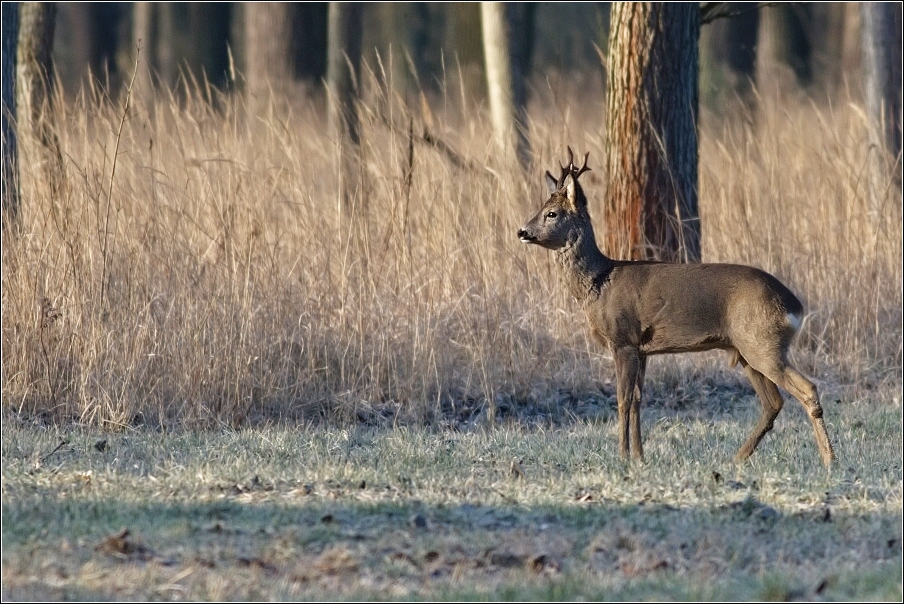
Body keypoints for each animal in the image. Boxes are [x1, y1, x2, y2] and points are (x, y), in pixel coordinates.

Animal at [520, 150, 836, 468]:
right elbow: (637, 400)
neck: (600, 281)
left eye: (552, 213)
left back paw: (829, 459)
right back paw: (737, 457)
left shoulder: (623, 339)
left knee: (807, 389)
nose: (523, 231)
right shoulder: (642, 349)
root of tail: (795, 306)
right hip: (747, 350)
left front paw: (622, 457)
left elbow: (622, 399)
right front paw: (639, 456)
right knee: (773, 402)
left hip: (761, 343)